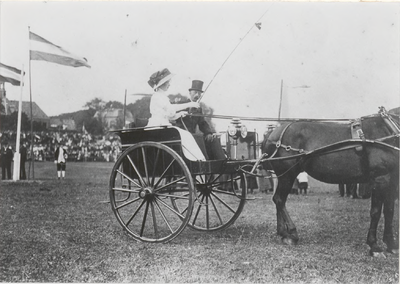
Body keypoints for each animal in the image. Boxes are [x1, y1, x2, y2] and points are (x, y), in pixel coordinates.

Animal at [262, 106, 400, 255]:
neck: (388, 129)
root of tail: (275, 133)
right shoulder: (380, 178)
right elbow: (376, 212)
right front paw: (374, 246)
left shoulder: (393, 180)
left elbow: (389, 211)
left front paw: (391, 244)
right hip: (287, 175)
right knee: (279, 200)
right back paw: (292, 234)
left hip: (284, 176)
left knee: (278, 200)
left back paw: (282, 232)